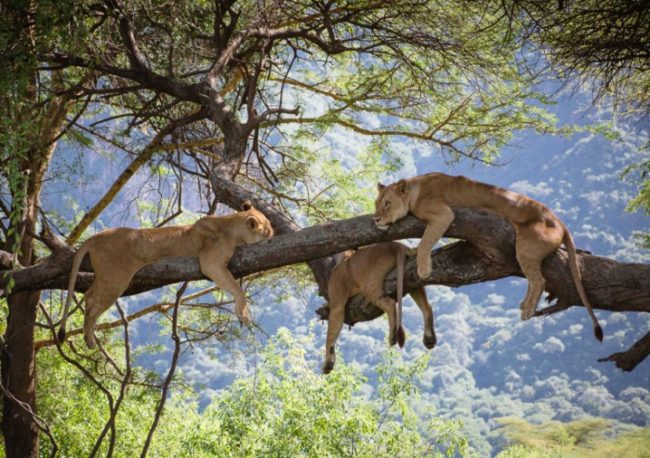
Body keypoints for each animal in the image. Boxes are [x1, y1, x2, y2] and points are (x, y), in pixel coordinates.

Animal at [59, 200, 274, 348]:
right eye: (266, 230)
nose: (273, 233)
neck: (230, 225)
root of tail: (96, 237)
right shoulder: (210, 263)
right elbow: (236, 287)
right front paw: (244, 313)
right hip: (115, 279)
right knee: (92, 300)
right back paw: (89, 338)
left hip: (105, 277)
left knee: (89, 295)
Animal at [322, 241, 437, 374]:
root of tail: (396, 245)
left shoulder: (337, 304)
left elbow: (330, 335)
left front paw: (328, 363)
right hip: (412, 274)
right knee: (426, 306)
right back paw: (429, 339)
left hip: (370, 285)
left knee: (390, 304)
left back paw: (392, 337)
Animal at [373, 173, 603, 341]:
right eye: (376, 203)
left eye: (387, 203)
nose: (375, 219)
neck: (414, 190)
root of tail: (559, 221)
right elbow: (423, 241)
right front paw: (412, 252)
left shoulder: (443, 214)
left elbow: (426, 241)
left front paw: (423, 268)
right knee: (534, 279)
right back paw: (524, 304)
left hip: (526, 247)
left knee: (539, 280)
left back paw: (527, 310)